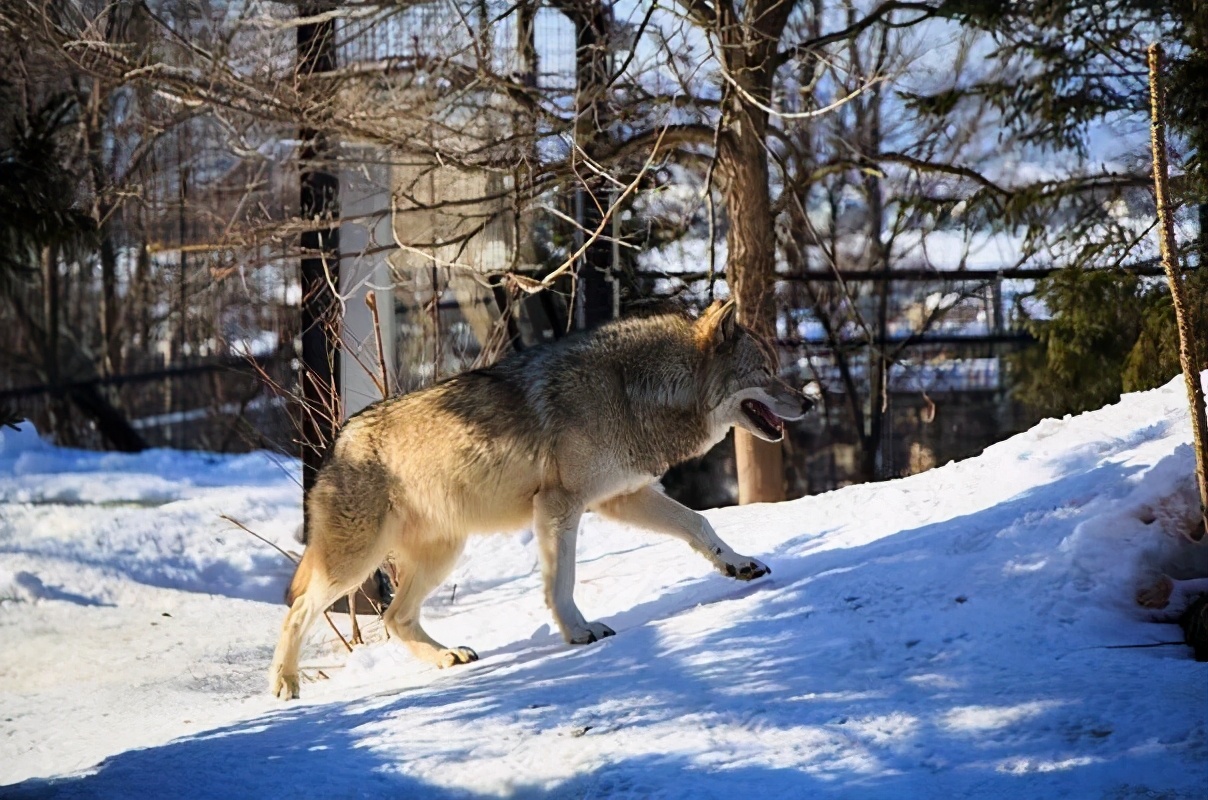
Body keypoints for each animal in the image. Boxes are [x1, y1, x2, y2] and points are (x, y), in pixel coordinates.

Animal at [271, 300, 811, 700]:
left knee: (393, 618)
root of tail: (338, 441)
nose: (809, 401)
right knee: (299, 610)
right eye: (766, 371)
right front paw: (579, 632)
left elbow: (700, 525)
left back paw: (447, 657)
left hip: (441, 556)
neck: (632, 391)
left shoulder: (624, 496)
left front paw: (739, 564)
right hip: (355, 564)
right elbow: (561, 583)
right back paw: (285, 685)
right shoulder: (560, 506)